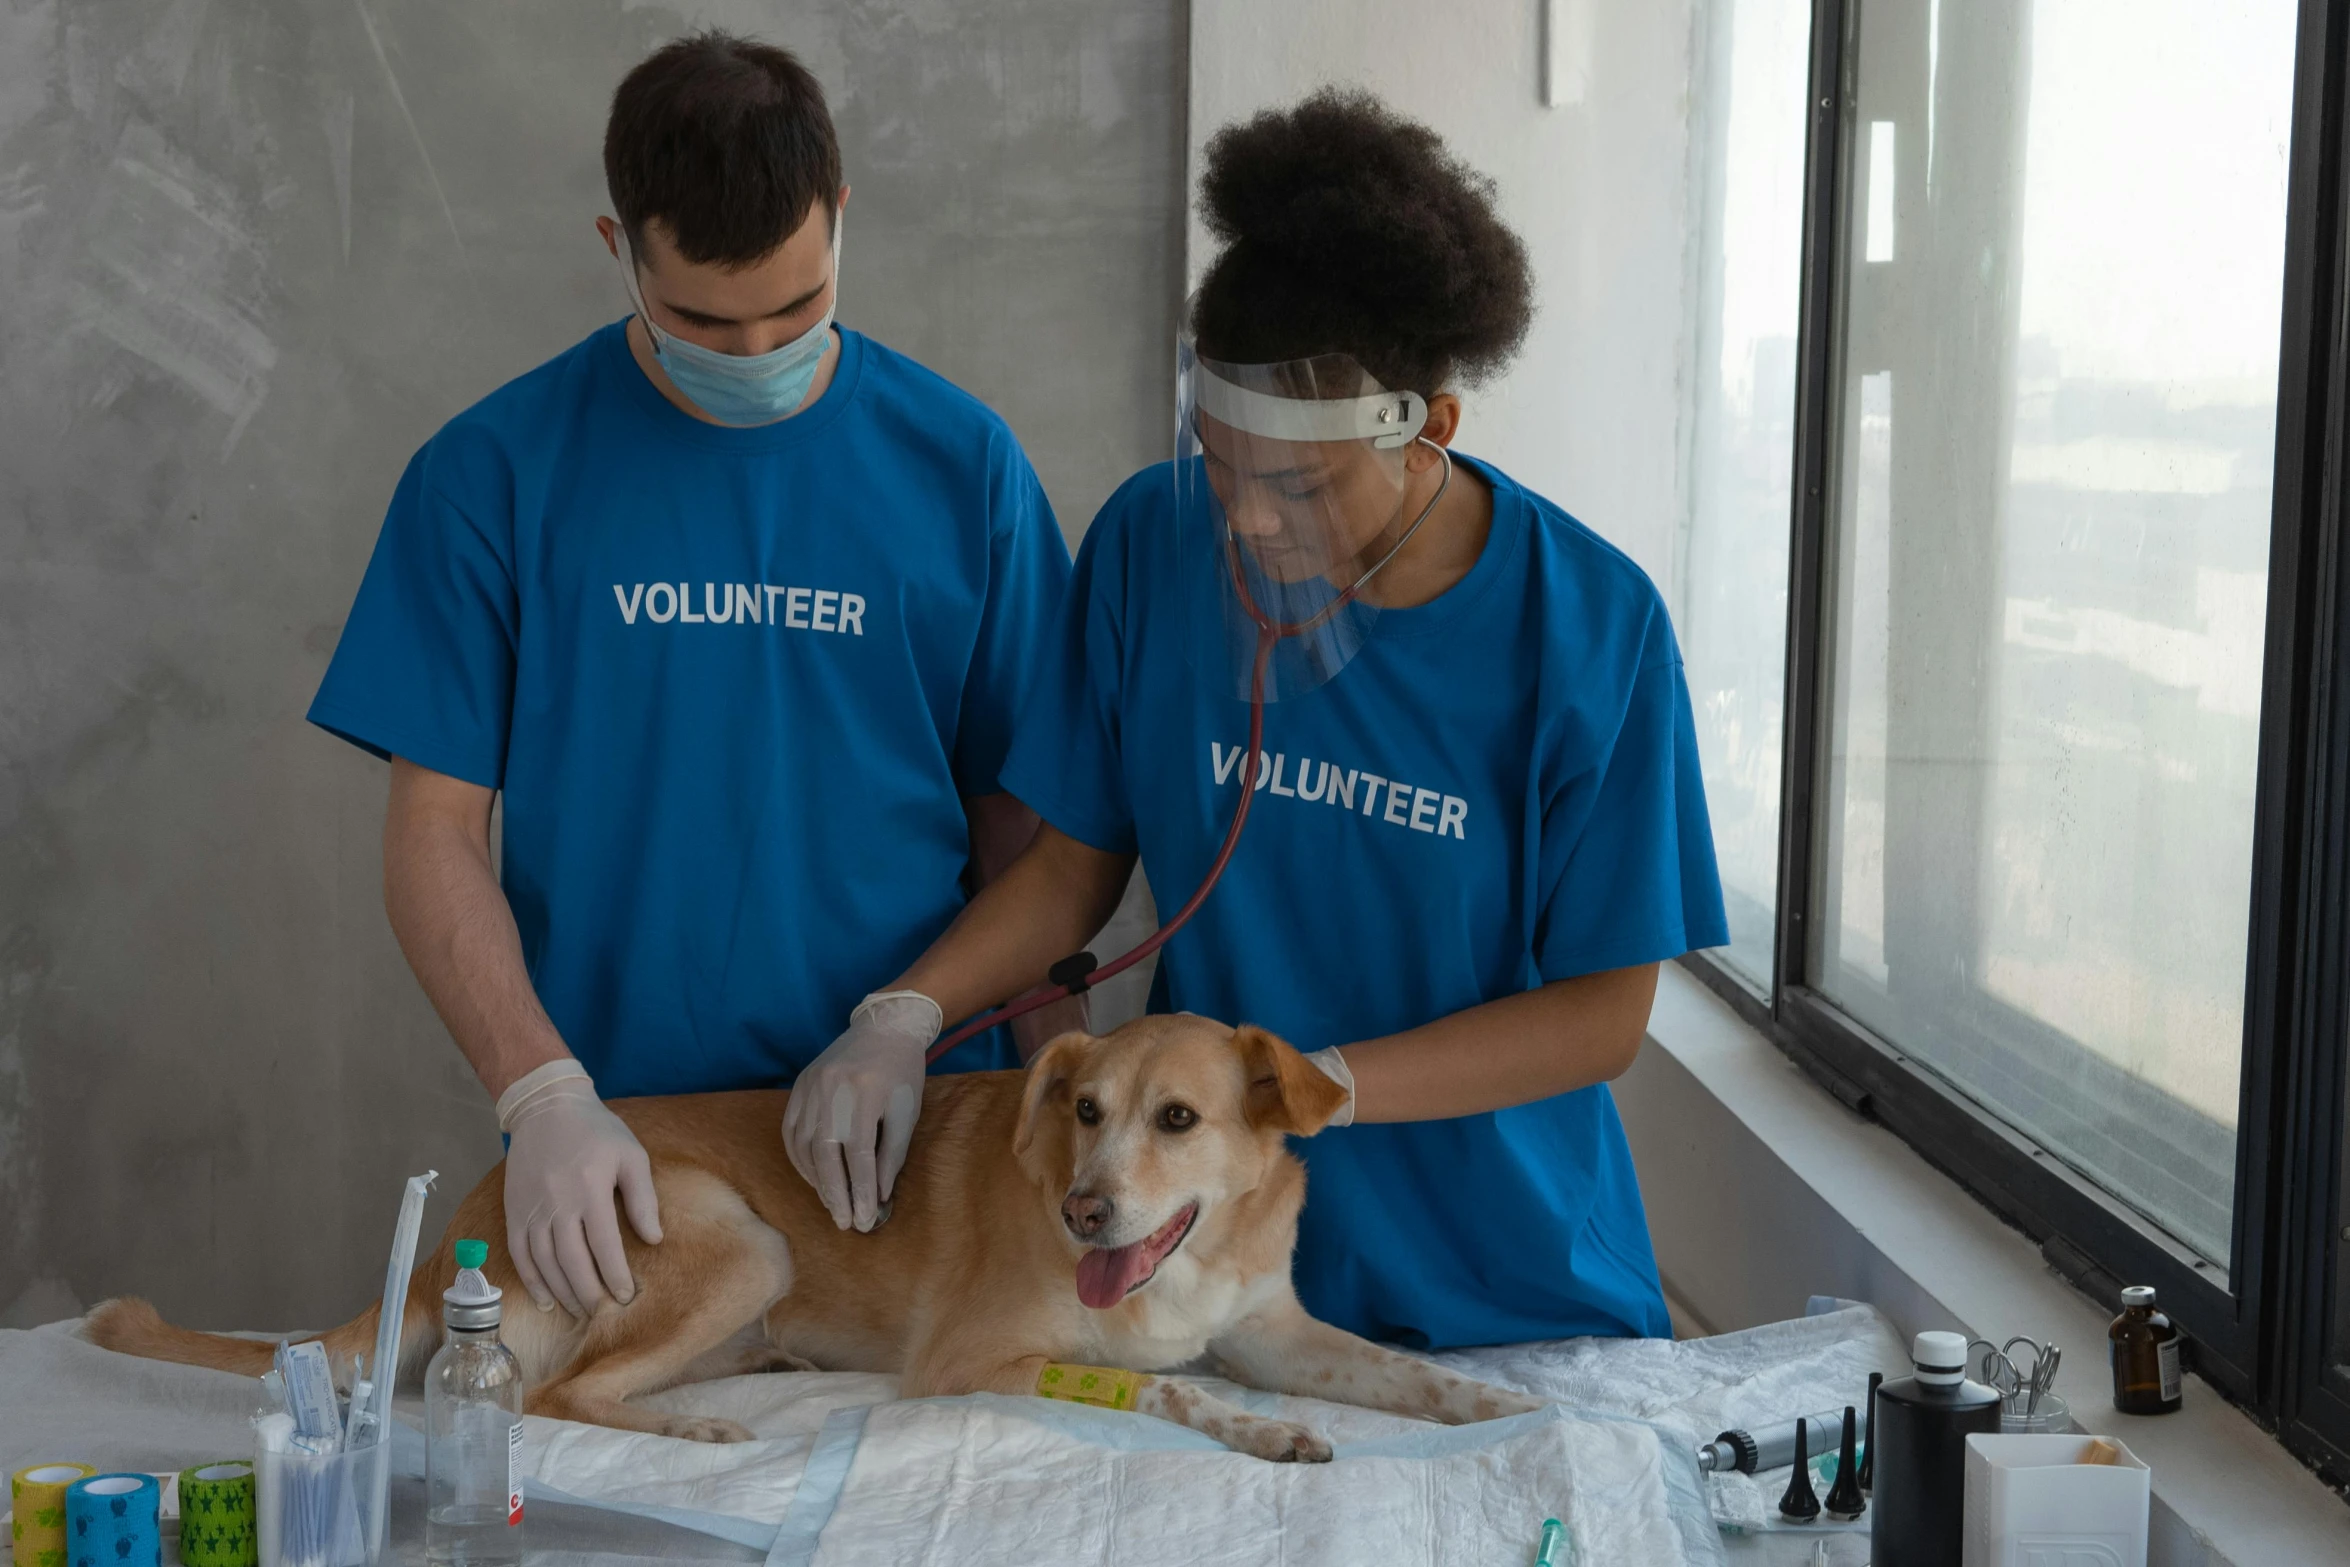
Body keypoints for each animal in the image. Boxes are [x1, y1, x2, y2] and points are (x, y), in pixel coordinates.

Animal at [86, 1019, 1541, 1456]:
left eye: (1176, 1117)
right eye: (1081, 1110)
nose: (1083, 1207)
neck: (1173, 1262)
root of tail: (472, 1211)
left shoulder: (1275, 1328)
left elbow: (1392, 1370)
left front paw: (1491, 1399)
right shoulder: (969, 1362)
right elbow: (1166, 1384)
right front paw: (1250, 1428)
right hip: (741, 1240)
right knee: (560, 1393)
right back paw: (688, 1423)